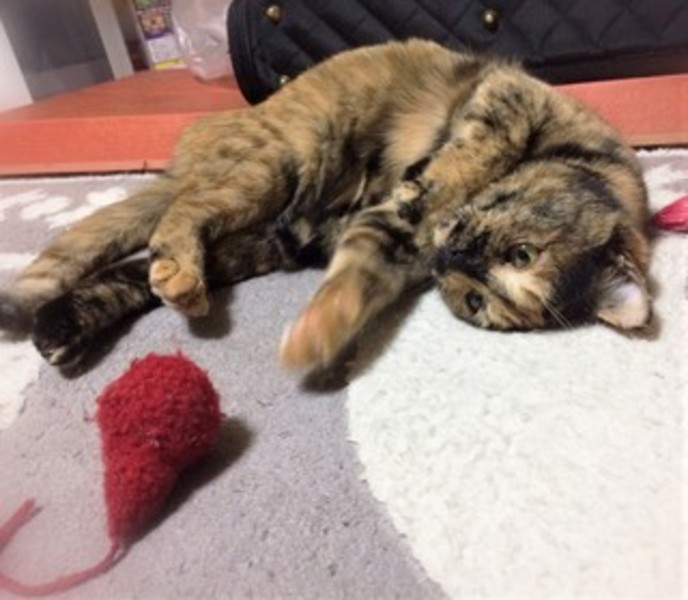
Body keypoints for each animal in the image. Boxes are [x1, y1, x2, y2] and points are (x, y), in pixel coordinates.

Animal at [0, 39, 651, 370]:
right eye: (522, 253)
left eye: (475, 300)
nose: (452, 258)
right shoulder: (505, 100)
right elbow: (462, 160)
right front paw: (425, 185)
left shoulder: (365, 238)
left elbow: (353, 284)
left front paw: (317, 336)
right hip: (278, 162)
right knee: (179, 211)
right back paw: (179, 271)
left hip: (269, 234)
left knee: (140, 265)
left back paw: (66, 327)